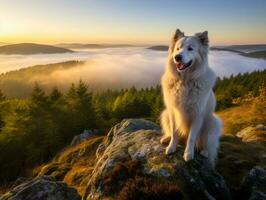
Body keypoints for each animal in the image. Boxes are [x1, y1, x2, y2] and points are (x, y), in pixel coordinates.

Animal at [161, 28, 221, 167]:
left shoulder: (197, 115)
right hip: (165, 114)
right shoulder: (172, 112)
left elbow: (192, 137)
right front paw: (171, 146)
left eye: (190, 49)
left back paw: (204, 152)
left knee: (207, 143)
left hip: (212, 122)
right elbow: (174, 132)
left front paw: (188, 154)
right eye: (178, 48)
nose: (177, 57)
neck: (185, 81)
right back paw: (166, 138)